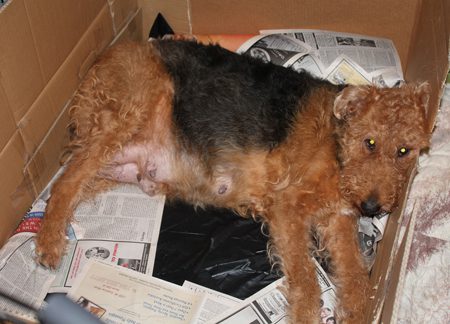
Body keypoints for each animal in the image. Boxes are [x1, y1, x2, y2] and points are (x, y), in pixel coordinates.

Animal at [34, 39, 428, 322]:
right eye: (370, 142)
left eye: (405, 151)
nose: (372, 207)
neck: (337, 146)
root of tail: (104, 56)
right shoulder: (287, 208)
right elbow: (305, 282)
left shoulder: (339, 222)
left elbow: (357, 281)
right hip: (124, 119)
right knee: (63, 184)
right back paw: (49, 244)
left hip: (116, 165)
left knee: (72, 182)